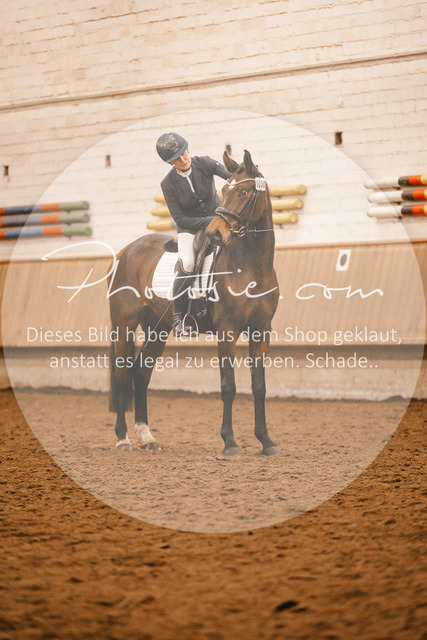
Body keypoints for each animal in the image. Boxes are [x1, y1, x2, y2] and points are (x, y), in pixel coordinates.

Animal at [108, 150, 281, 456]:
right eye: (224, 191)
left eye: (244, 191)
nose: (214, 234)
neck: (251, 267)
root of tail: (124, 252)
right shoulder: (227, 332)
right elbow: (228, 386)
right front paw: (230, 443)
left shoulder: (261, 331)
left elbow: (259, 386)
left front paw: (266, 441)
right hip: (124, 326)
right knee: (121, 375)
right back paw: (123, 439)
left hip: (158, 329)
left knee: (141, 373)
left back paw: (147, 437)